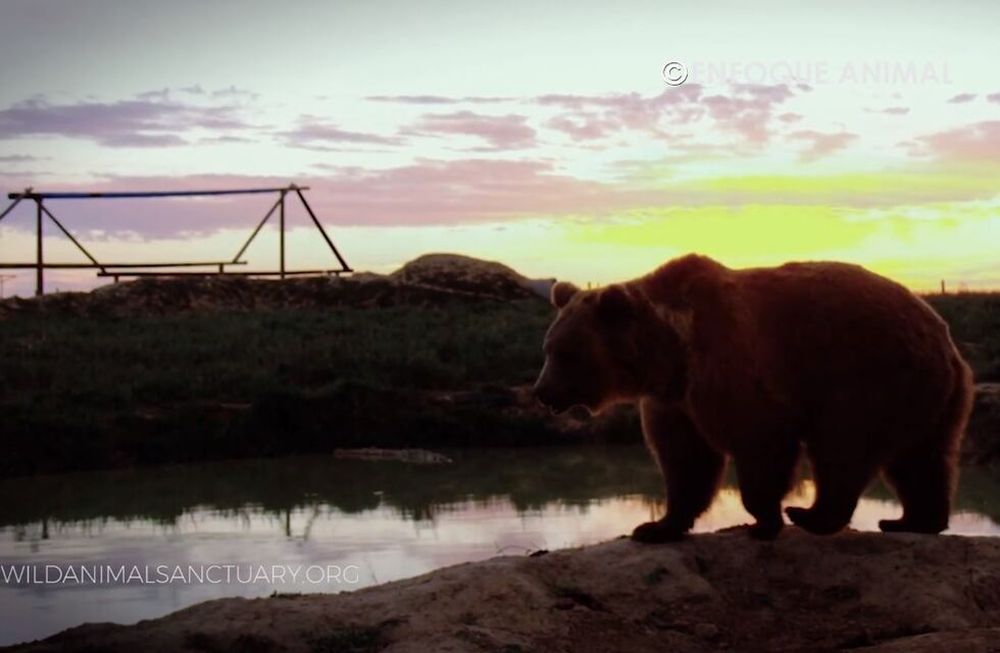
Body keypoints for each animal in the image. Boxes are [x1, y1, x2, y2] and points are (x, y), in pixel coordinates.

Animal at [532, 254, 974, 541]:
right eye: (548, 348)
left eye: (566, 353)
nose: (542, 392)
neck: (671, 354)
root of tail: (944, 338)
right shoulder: (675, 401)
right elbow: (685, 460)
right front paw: (656, 526)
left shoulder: (733, 363)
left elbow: (758, 438)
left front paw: (764, 520)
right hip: (930, 395)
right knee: (924, 457)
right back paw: (914, 520)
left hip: (866, 376)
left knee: (844, 448)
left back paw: (812, 515)